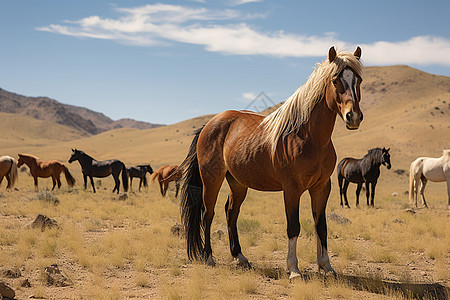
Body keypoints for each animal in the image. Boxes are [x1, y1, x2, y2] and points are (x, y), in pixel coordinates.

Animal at [178, 47, 362, 278]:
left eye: (359, 80)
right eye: (336, 80)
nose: (353, 117)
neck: (308, 137)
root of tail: (209, 124)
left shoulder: (322, 187)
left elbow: (321, 226)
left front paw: (326, 267)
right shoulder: (291, 189)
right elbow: (293, 227)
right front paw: (293, 270)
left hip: (237, 183)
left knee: (231, 212)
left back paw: (240, 257)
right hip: (211, 180)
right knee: (207, 214)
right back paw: (209, 257)